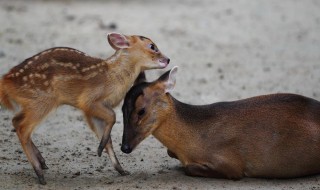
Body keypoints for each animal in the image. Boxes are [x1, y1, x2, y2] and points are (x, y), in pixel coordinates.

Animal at [0, 32, 170, 184]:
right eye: (152, 46)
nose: (168, 59)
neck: (112, 78)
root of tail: (6, 81)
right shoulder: (89, 101)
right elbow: (112, 116)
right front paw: (100, 149)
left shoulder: (92, 112)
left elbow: (108, 137)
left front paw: (120, 169)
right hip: (42, 101)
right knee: (23, 128)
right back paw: (40, 174)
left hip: (33, 102)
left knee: (16, 121)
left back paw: (42, 162)